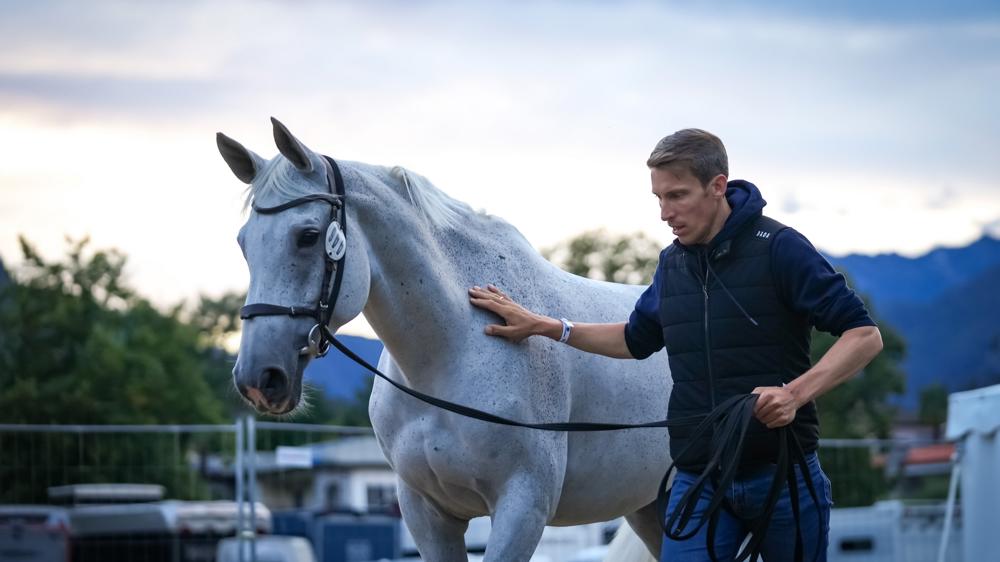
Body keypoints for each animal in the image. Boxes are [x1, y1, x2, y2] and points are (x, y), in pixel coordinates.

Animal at [221, 118, 672, 560]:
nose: (258, 378)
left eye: (308, 236)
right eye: (243, 244)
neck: (451, 350)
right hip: (650, 506)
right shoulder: (425, 511)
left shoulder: (522, 507)